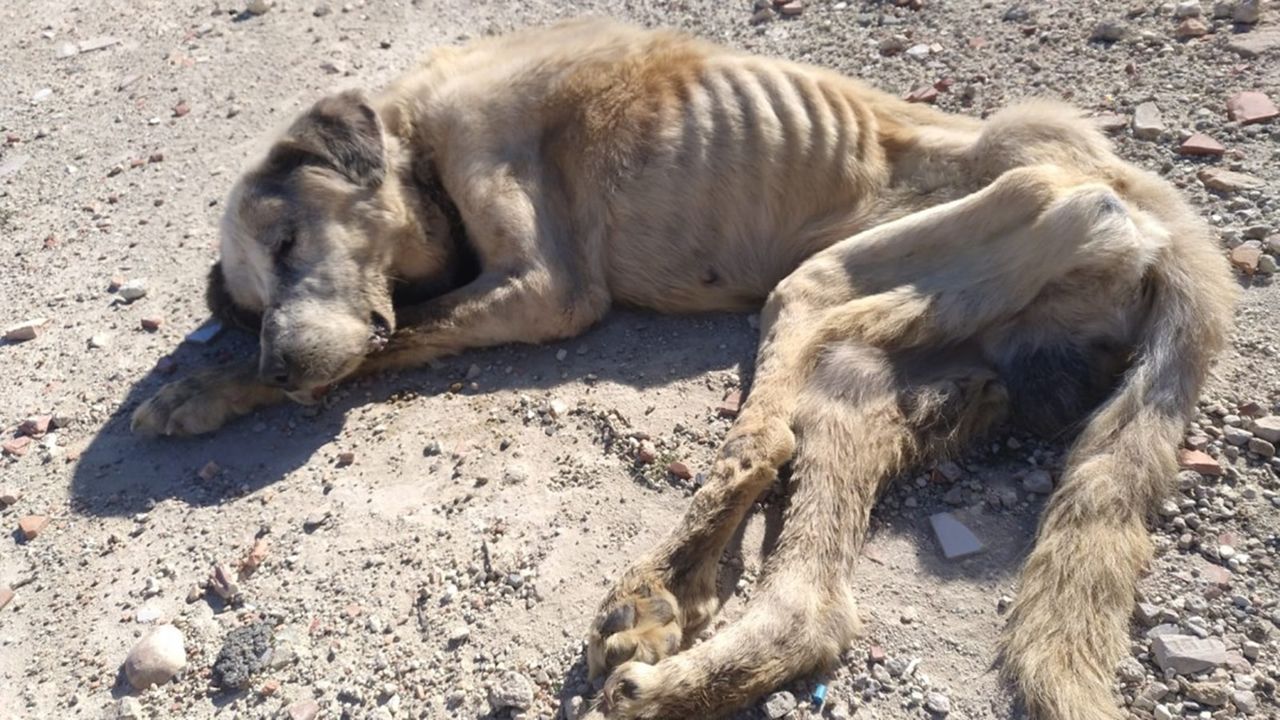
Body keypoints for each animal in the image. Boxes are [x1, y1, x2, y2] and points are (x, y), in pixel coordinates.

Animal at [127, 19, 1228, 717]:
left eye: (285, 243)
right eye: (252, 294)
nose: (277, 355)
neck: (416, 139)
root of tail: (1155, 205)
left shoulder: (548, 288)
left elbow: (394, 336)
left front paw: (212, 384)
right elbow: (379, 335)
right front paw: (216, 377)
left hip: (909, 246)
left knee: (774, 422)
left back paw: (666, 592)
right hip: (896, 364)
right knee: (808, 580)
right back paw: (678, 627)